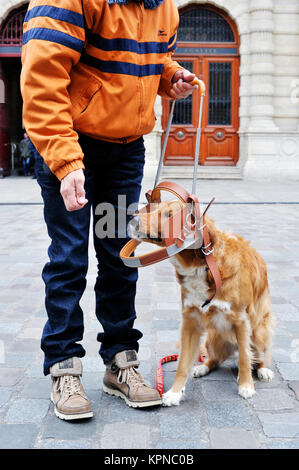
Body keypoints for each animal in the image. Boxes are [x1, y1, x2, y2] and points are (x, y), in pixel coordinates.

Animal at [130, 198, 276, 404]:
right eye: (155, 208)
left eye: (169, 215)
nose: (132, 217)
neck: (205, 265)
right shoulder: (190, 321)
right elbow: (183, 363)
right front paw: (175, 393)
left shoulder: (241, 321)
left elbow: (245, 358)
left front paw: (246, 385)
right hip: (213, 338)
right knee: (213, 358)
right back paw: (202, 367)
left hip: (259, 330)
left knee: (254, 354)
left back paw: (262, 370)